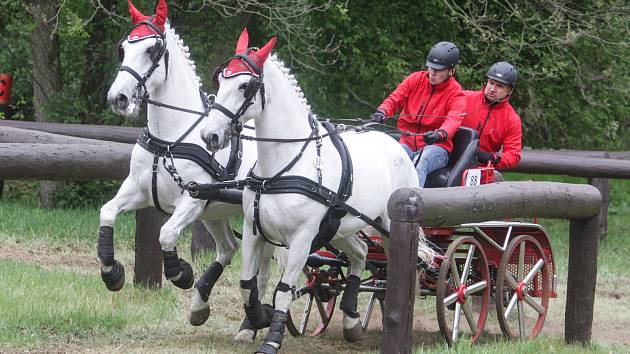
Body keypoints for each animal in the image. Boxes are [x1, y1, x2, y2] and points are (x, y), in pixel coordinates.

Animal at [103, 0, 278, 338]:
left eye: (152, 50)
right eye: (122, 49)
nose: (118, 98)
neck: (170, 139)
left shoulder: (192, 200)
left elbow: (166, 232)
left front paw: (180, 273)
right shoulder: (138, 191)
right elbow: (107, 212)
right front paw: (111, 272)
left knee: (265, 270)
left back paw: (249, 324)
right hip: (216, 213)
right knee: (229, 249)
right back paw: (201, 306)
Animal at [198, 30, 424, 354]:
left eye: (245, 86)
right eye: (221, 79)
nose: (210, 135)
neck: (281, 168)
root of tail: (397, 145)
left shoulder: (302, 239)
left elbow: (283, 290)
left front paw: (272, 338)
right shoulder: (254, 231)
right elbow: (246, 285)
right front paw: (257, 318)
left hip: (390, 227)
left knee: (397, 271)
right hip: (340, 229)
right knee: (361, 252)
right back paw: (351, 319)